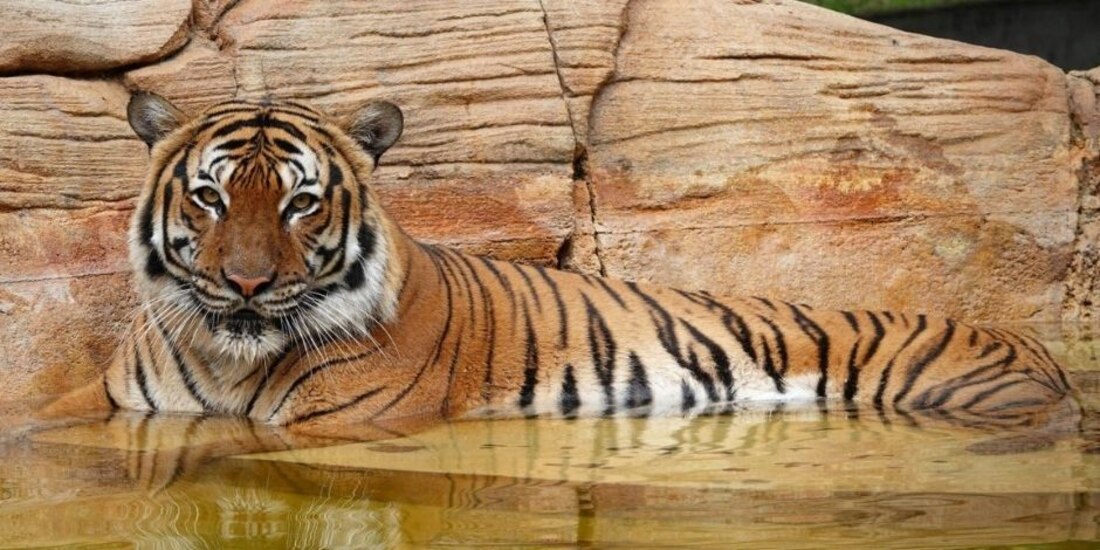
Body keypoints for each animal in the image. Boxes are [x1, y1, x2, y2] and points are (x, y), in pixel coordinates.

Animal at [40, 92, 1076, 438]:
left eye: (299, 202)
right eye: (210, 199)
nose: (248, 284)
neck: (227, 355)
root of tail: (1043, 351)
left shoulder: (342, 425)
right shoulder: (113, 403)